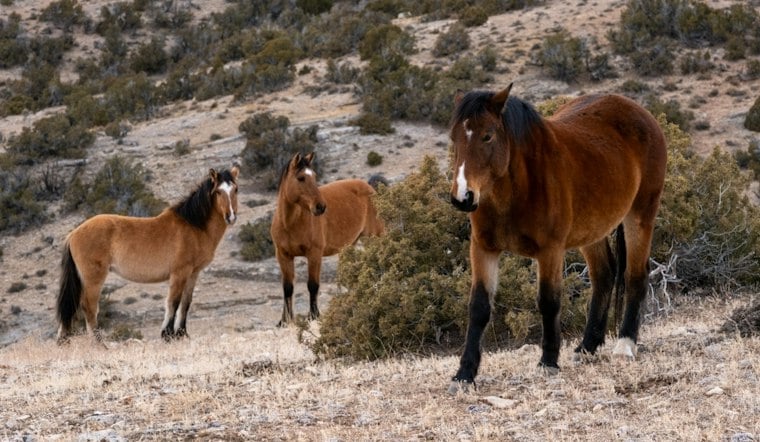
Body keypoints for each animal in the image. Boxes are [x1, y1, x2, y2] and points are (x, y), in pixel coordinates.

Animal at [56, 163, 240, 344]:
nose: (231, 217)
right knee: (89, 307)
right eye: (218, 191)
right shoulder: (180, 273)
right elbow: (173, 302)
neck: (194, 225)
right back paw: (100, 344)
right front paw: (168, 335)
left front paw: (182, 334)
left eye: (236, 189)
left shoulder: (193, 274)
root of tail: (73, 234)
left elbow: (185, 303)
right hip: (93, 278)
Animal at [270, 152, 385, 326]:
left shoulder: (314, 254)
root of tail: (370, 187)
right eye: (301, 178)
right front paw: (284, 321)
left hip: (374, 237)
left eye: (314, 176)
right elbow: (287, 288)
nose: (320, 207)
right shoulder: (283, 255)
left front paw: (314, 316)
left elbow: (313, 285)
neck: (290, 223)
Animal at [448, 83, 666, 391]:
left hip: (640, 215)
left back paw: (625, 345)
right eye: (454, 137)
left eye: (487, 135)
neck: (516, 191)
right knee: (604, 275)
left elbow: (548, 301)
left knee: (635, 275)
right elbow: (479, 307)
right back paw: (587, 347)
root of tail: (641, 112)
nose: (463, 197)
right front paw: (464, 374)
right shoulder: (483, 249)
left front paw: (548, 362)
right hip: (592, 230)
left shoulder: (549, 251)